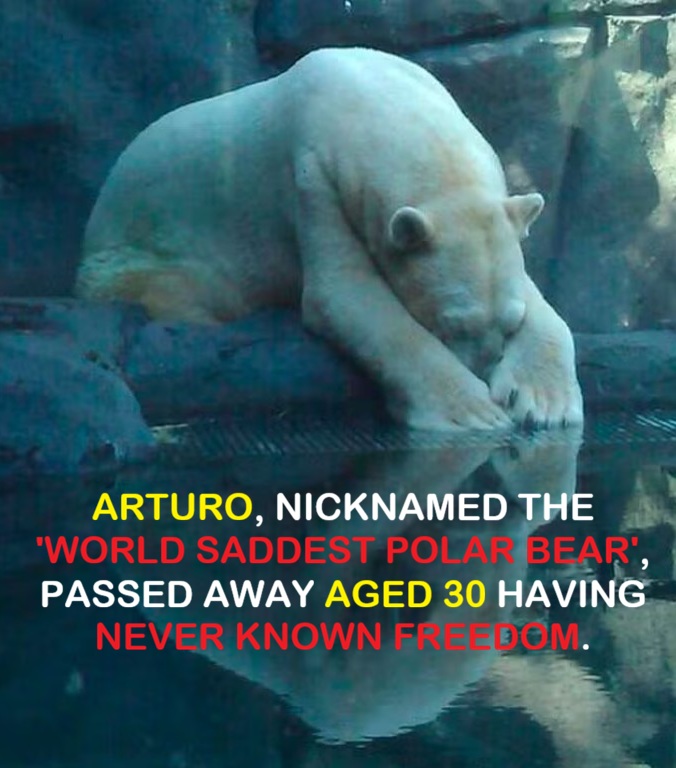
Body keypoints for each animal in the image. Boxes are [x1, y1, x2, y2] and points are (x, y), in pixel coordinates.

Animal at [75, 47, 583, 431]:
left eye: (510, 323)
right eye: (452, 324)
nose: (483, 367)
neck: (372, 93)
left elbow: (537, 295)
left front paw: (542, 400)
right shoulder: (311, 176)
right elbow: (344, 294)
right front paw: (474, 411)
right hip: (143, 254)